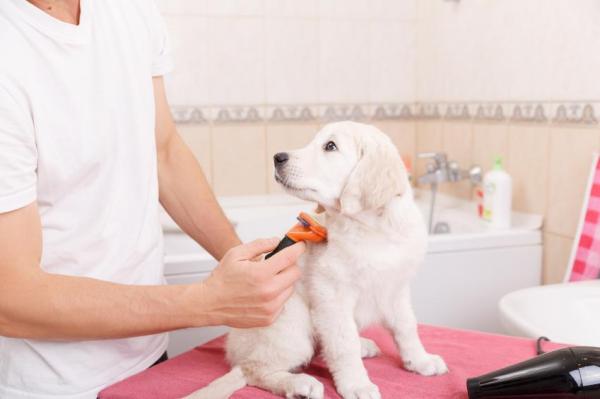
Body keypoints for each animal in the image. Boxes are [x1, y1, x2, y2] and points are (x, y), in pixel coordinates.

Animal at [185, 122, 448, 399]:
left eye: (330, 146)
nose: (277, 157)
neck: (372, 230)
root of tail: (234, 350)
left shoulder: (395, 289)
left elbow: (406, 327)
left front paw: (420, 360)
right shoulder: (332, 297)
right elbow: (344, 344)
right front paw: (357, 384)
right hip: (292, 324)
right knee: (252, 369)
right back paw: (299, 384)